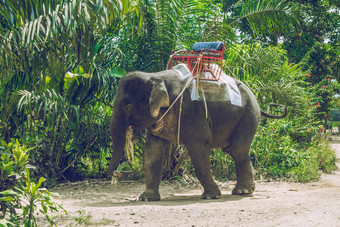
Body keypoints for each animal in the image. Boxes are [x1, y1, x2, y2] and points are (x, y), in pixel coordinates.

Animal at [107, 69, 286, 200]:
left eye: (127, 105)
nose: (117, 174)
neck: (155, 76)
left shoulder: (190, 112)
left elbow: (198, 148)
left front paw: (211, 196)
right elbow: (152, 151)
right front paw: (146, 198)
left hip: (249, 114)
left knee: (237, 149)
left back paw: (243, 192)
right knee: (234, 150)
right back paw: (247, 190)